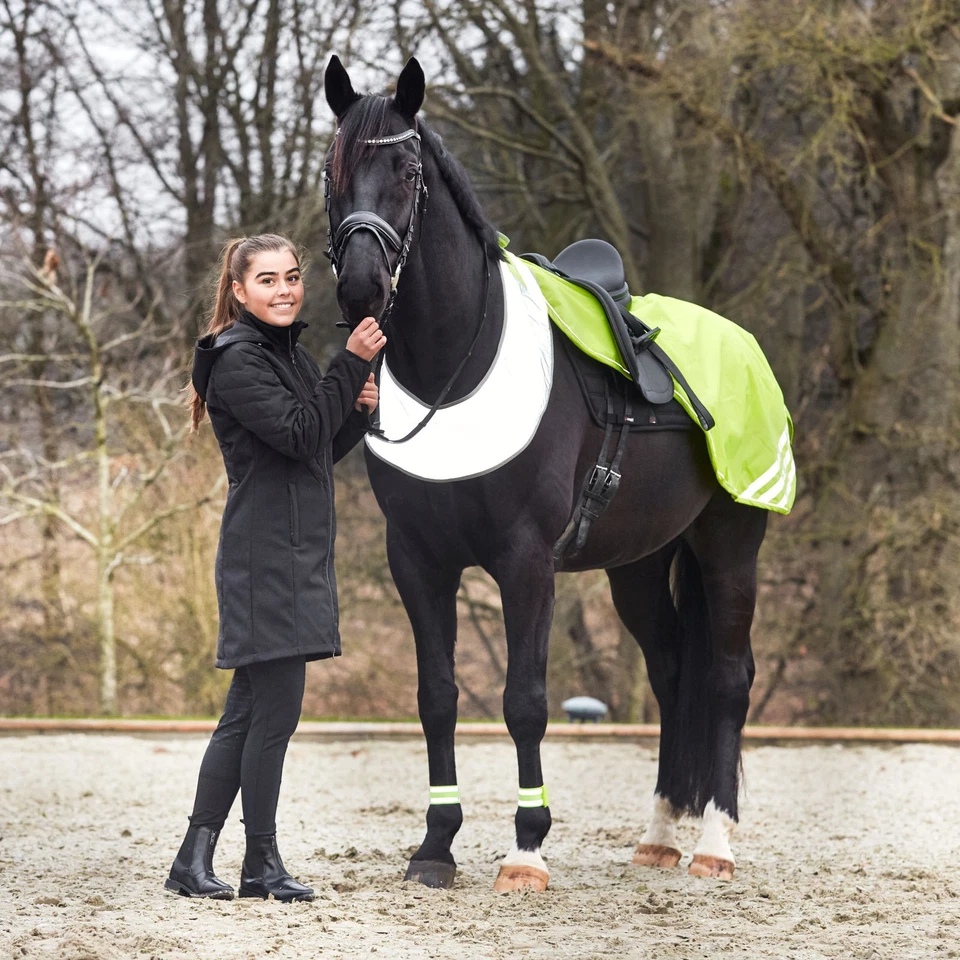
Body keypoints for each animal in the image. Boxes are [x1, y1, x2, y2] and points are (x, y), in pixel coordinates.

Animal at [323, 55, 770, 891]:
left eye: (406, 170)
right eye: (331, 169)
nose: (362, 285)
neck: (455, 371)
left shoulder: (525, 561)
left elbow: (525, 700)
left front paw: (527, 847)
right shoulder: (417, 562)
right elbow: (437, 696)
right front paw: (436, 844)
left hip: (731, 544)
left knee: (728, 677)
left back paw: (714, 844)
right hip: (640, 564)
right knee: (672, 673)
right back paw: (659, 834)